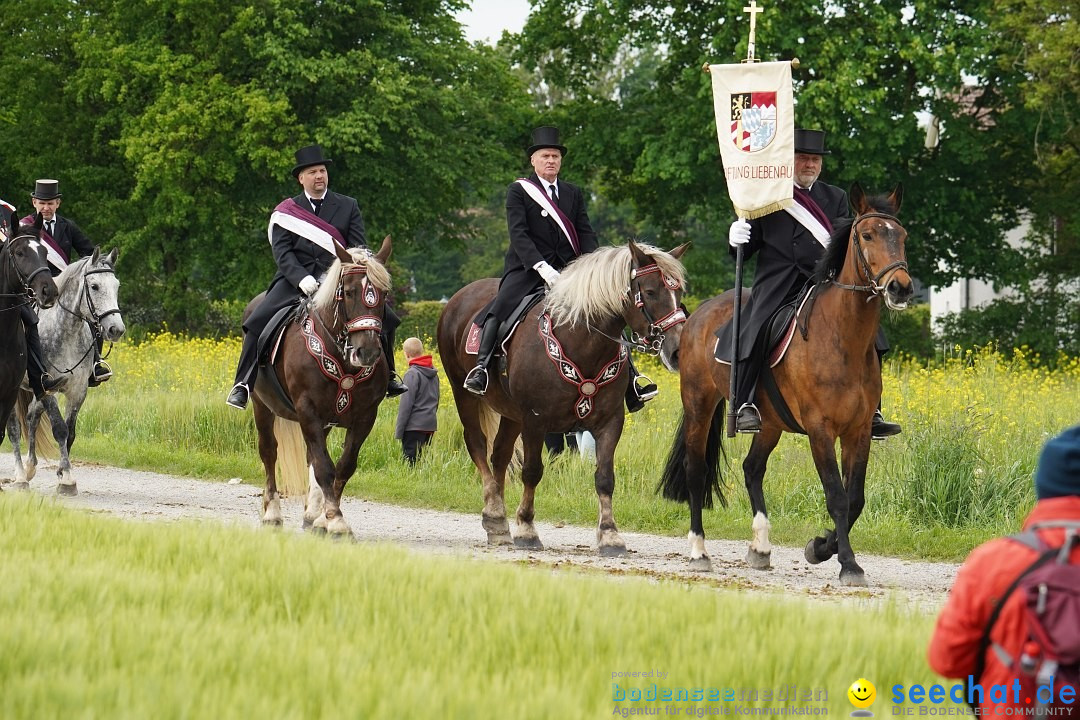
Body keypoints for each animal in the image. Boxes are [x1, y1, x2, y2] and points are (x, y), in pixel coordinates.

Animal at [8, 248, 124, 496]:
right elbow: (59, 429)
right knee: (13, 427)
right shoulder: (47, 387)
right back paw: (20, 476)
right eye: (94, 286)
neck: (66, 331)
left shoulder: (77, 391)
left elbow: (70, 433)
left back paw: (30, 467)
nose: (116, 329)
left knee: (31, 416)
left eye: (117, 286)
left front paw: (63, 473)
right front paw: (68, 480)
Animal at [247, 236, 393, 535]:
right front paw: (336, 521)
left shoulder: (365, 417)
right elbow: (325, 466)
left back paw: (312, 514)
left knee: (310, 458)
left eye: (383, 294)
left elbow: (343, 466)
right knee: (269, 451)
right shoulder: (308, 411)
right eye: (348, 292)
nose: (367, 353)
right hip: (261, 405)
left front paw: (326, 518)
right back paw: (272, 513)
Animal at [440, 245, 686, 557]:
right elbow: (532, 471)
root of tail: (459, 297)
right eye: (651, 291)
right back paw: (495, 513)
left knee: (500, 455)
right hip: (465, 395)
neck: (582, 341)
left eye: (679, 291)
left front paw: (610, 535)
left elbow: (605, 477)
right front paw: (527, 529)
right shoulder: (535, 421)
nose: (676, 350)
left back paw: (498, 523)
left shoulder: (610, 422)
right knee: (478, 445)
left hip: (511, 413)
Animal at [656, 184, 911, 587]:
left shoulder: (858, 431)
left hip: (771, 423)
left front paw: (821, 547)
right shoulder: (821, 430)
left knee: (752, 468)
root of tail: (697, 315)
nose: (900, 288)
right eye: (868, 235)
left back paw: (760, 548)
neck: (843, 338)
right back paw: (699, 552)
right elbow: (837, 496)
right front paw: (848, 564)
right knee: (696, 471)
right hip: (699, 405)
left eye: (901, 236)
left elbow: (855, 498)